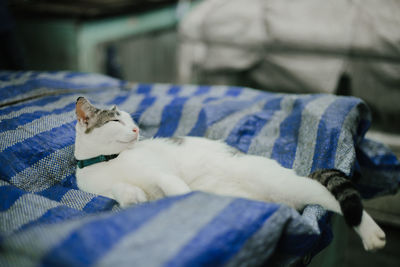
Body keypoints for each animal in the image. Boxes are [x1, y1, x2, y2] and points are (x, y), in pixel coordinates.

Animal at [74, 97, 384, 252]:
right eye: (116, 121)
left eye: (131, 120)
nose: (137, 130)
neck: (109, 161)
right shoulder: (101, 187)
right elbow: (120, 191)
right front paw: (133, 196)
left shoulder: (161, 172)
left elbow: (172, 184)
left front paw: (184, 197)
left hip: (285, 184)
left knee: (328, 196)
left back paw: (371, 234)